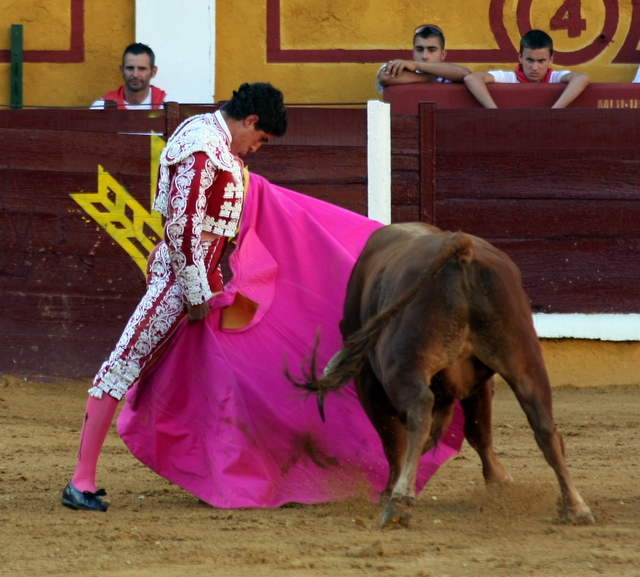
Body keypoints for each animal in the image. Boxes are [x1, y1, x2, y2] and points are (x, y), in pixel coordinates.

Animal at [296, 223, 596, 528]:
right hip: (524, 359)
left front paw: (389, 491)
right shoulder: (480, 383)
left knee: (417, 415)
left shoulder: (369, 385)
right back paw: (576, 507)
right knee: (544, 425)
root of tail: (460, 250)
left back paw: (399, 503)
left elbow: (393, 441)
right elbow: (478, 431)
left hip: (403, 365)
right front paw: (499, 481)